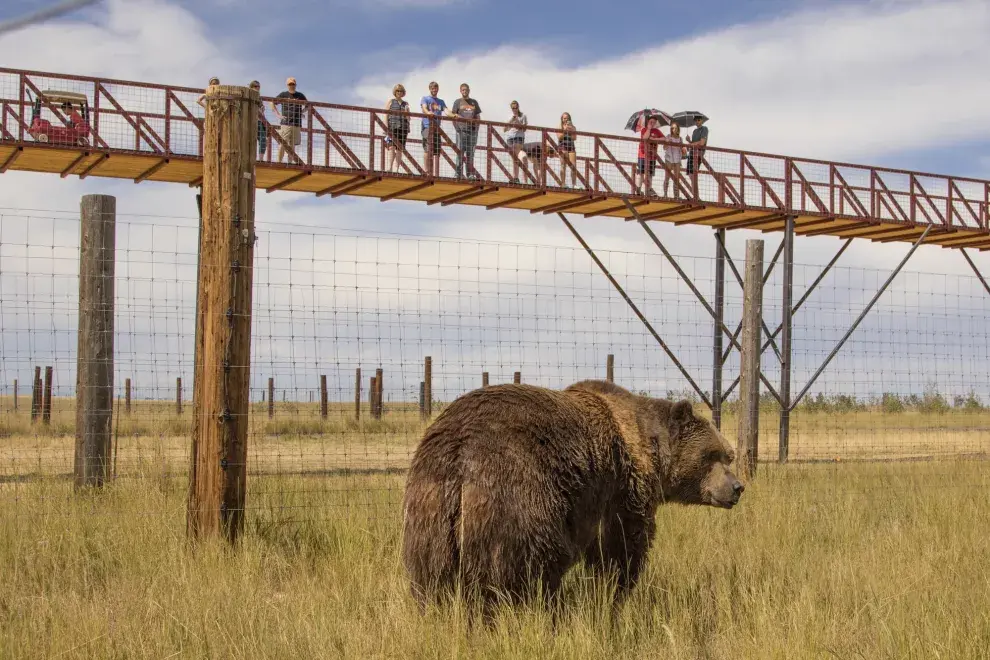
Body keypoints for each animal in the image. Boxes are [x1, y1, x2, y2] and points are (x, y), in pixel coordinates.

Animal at [404, 378, 744, 612]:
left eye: (728, 454)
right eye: (713, 454)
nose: (737, 488)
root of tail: (461, 453)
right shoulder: (621, 488)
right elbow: (620, 547)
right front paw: (615, 592)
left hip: (430, 511)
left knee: (432, 578)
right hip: (517, 495)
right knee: (529, 567)